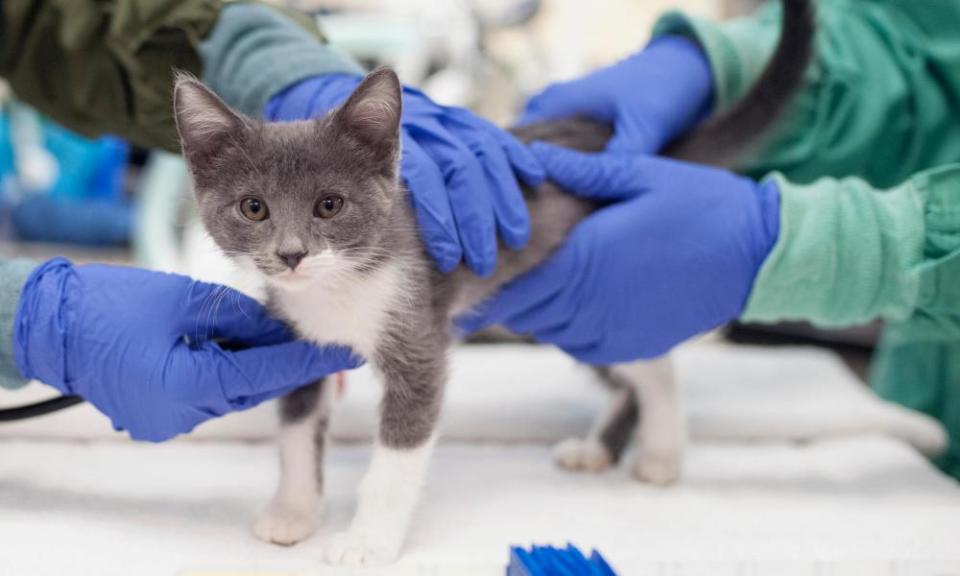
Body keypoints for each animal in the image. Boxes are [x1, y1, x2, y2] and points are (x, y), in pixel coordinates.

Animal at [171, 1, 808, 568]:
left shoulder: (418, 329)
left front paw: (368, 541)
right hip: (576, 312)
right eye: (253, 208)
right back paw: (600, 449)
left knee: (654, 363)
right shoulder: (301, 341)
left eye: (330, 205)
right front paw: (294, 512)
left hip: (611, 281)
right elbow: (298, 430)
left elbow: (399, 450)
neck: (341, 285)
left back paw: (662, 451)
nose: (292, 254)